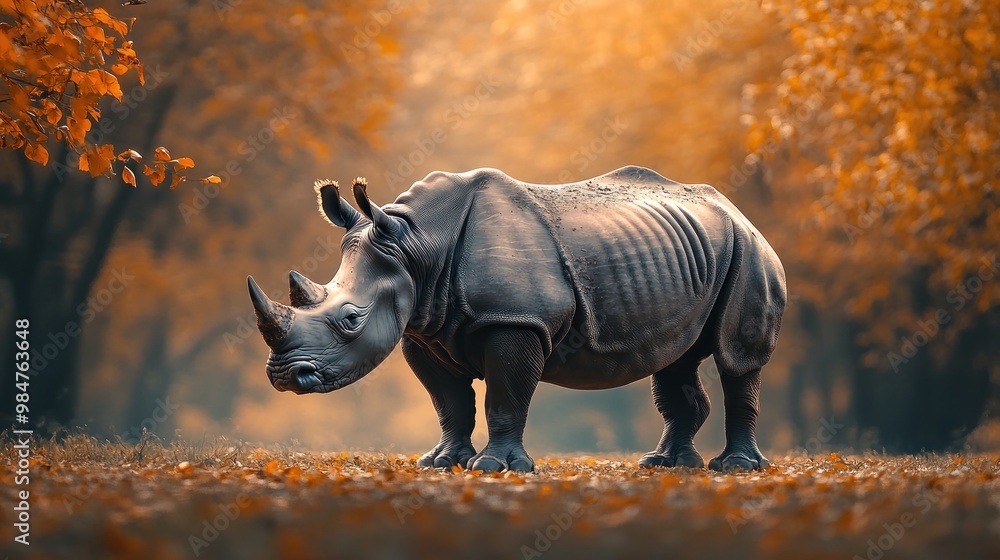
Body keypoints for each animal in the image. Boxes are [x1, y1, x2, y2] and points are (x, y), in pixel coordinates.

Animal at [247, 166, 786, 473]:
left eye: (351, 319)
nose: (283, 377)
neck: (416, 246)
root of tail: (735, 208)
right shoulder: (423, 331)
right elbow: (449, 403)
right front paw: (441, 463)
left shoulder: (516, 320)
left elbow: (506, 397)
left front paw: (495, 468)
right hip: (693, 253)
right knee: (675, 359)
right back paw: (667, 466)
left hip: (750, 249)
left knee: (736, 359)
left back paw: (735, 469)